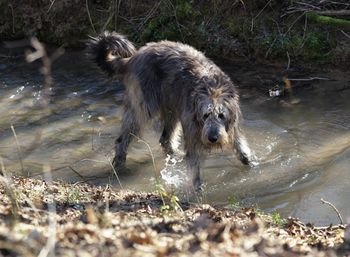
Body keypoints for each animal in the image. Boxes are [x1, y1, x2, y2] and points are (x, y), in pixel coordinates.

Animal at [87, 31, 252, 189]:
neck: (213, 89)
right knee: (124, 137)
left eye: (221, 115)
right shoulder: (192, 128)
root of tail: (135, 56)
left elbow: (239, 144)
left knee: (165, 138)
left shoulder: (233, 123)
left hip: (172, 108)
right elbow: (194, 161)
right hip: (145, 105)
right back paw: (120, 163)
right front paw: (197, 188)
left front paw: (249, 162)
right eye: (205, 115)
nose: (212, 138)